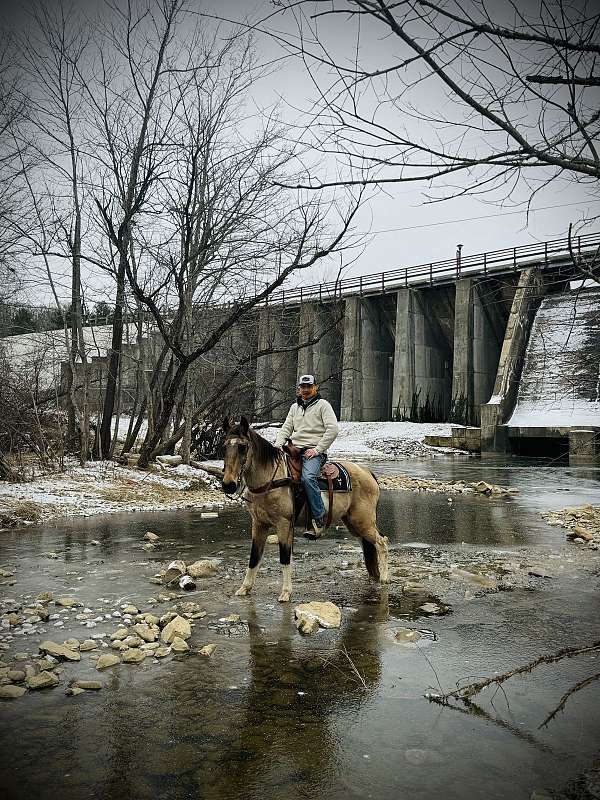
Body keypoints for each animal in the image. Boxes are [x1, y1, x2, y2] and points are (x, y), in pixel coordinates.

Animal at [221, 418, 390, 600]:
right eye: (224, 446)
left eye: (242, 447)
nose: (228, 485)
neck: (270, 480)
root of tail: (367, 472)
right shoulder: (259, 524)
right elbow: (254, 557)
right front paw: (244, 588)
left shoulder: (284, 524)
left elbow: (284, 557)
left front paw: (286, 592)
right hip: (353, 523)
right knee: (369, 545)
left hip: (363, 521)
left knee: (381, 542)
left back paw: (384, 579)